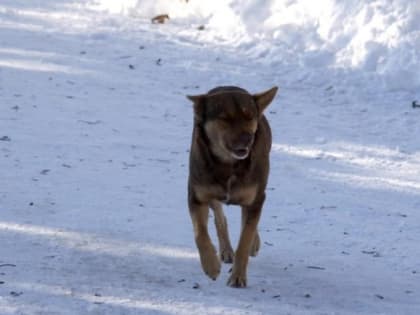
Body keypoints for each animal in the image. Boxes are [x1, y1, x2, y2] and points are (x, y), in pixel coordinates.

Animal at [186, 85, 278, 288]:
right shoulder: (197, 195)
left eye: (250, 116)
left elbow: (245, 239)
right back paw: (226, 250)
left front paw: (238, 276)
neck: (228, 164)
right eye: (225, 118)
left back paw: (252, 243)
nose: (248, 138)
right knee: (220, 218)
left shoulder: (256, 197)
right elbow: (199, 233)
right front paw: (211, 266)